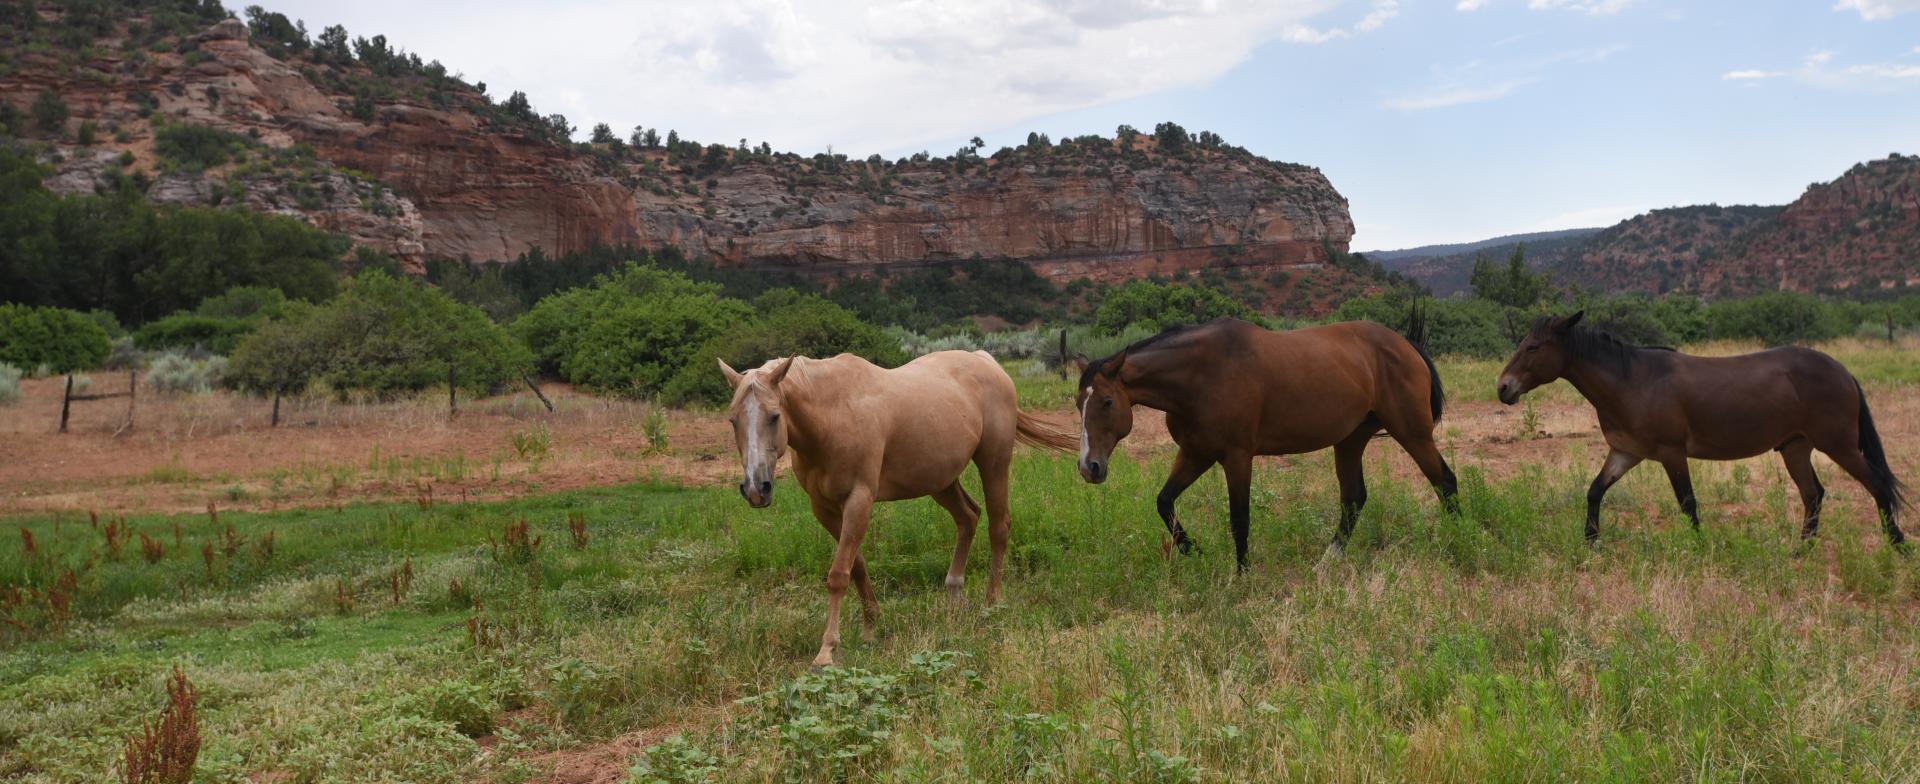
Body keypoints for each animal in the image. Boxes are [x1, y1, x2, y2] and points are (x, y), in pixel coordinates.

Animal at [720, 351, 1077, 666]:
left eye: (774, 416)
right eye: (733, 420)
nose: (756, 489)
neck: (832, 415)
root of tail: (987, 361)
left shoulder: (859, 500)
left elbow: (838, 574)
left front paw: (827, 650)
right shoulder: (824, 509)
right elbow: (857, 566)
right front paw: (871, 627)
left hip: (994, 464)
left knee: (998, 526)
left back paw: (992, 603)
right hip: (941, 480)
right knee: (968, 517)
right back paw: (954, 594)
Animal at [1074, 316, 1459, 569]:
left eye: (1106, 402)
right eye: (1078, 403)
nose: (1089, 467)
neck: (1202, 374)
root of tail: (1405, 345)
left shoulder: (1237, 457)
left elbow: (1239, 519)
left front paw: (1242, 575)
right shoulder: (1196, 453)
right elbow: (1164, 502)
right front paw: (1194, 550)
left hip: (1412, 433)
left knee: (1445, 482)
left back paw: (1458, 542)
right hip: (1351, 440)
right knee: (1353, 500)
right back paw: (1326, 564)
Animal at [1495, 312, 1908, 545]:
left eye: (1532, 347)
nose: (1503, 388)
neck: (1632, 382)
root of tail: (1842, 371)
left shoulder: (1672, 454)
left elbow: (1687, 502)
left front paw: (1699, 547)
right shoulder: (1626, 453)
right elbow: (1595, 491)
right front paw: (1591, 542)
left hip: (1839, 446)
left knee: (1876, 484)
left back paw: (1897, 544)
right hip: (1795, 447)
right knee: (1814, 495)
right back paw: (1801, 551)